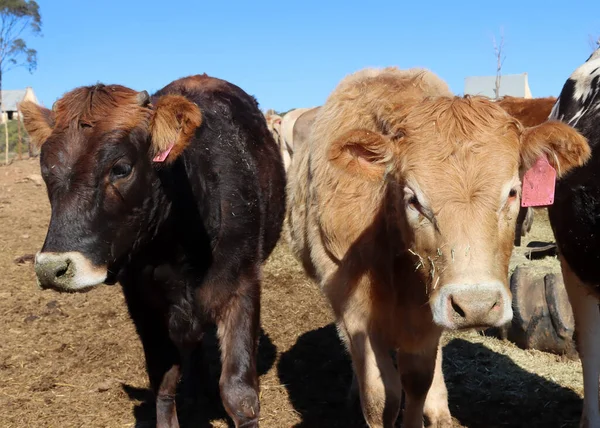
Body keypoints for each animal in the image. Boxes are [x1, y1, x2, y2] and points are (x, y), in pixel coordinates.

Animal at [19, 75, 288, 426]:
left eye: (121, 168)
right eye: (46, 170)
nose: (52, 269)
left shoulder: (242, 285)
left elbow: (239, 395)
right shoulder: (141, 302)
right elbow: (163, 384)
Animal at [286, 67, 592, 428]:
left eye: (513, 192)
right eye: (413, 199)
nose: (476, 305)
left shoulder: (427, 316)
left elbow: (418, 379)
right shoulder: (355, 312)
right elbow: (380, 398)